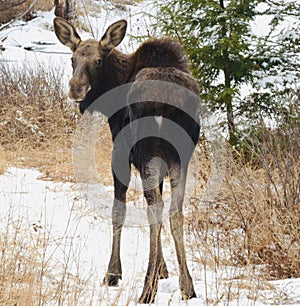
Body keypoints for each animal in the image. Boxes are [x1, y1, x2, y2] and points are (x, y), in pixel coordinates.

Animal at [54, 17, 199, 304]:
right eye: (72, 58)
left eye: (99, 60)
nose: (76, 88)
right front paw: (164, 270)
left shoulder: (120, 154)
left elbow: (117, 211)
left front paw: (112, 273)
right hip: (180, 156)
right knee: (174, 210)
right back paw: (187, 286)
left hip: (147, 151)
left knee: (155, 210)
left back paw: (147, 290)